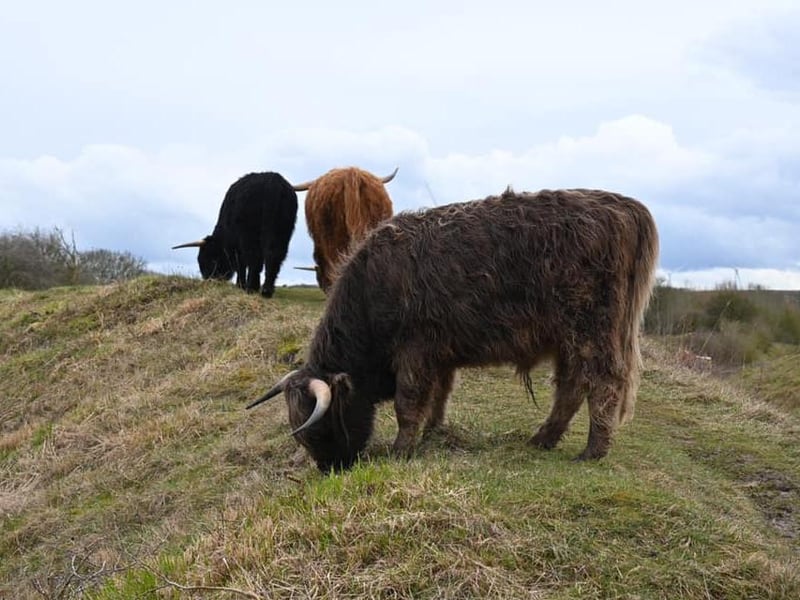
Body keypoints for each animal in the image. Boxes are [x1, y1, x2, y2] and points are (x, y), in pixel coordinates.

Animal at [248, 188, 659, 472]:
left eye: (320, 430)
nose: (332, 469)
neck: (371, 288)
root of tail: (623, 205)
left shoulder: (413, 350)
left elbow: (408, 403)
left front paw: (401, 449)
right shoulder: (439, 354)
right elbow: (439, 396)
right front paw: (433, 435)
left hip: (592, 329)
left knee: (603, 382)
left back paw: (593, 451)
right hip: (567, 340)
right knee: (571, 387)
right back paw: (542, 439)